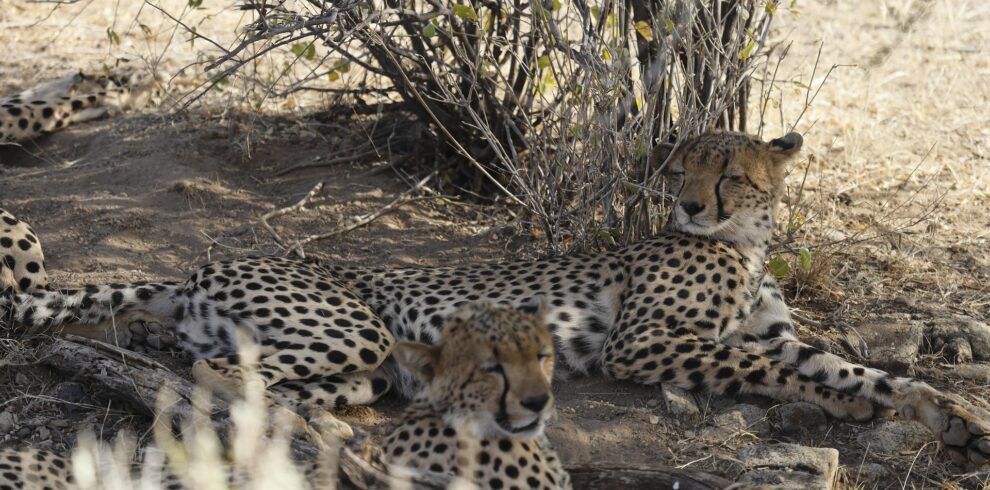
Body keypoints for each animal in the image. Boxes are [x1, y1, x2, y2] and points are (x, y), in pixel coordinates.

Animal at [1, 132, 990, 466]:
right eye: (682, 168)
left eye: (733, 175)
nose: (692, 206)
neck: (744, 242)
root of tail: (203, 264)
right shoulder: (646, 344)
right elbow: (770, 367)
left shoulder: (777, 333)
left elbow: (843, 368)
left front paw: (946, 414)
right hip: (354, 330)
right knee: (208, 376)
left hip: (350, 358)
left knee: (231, 370)